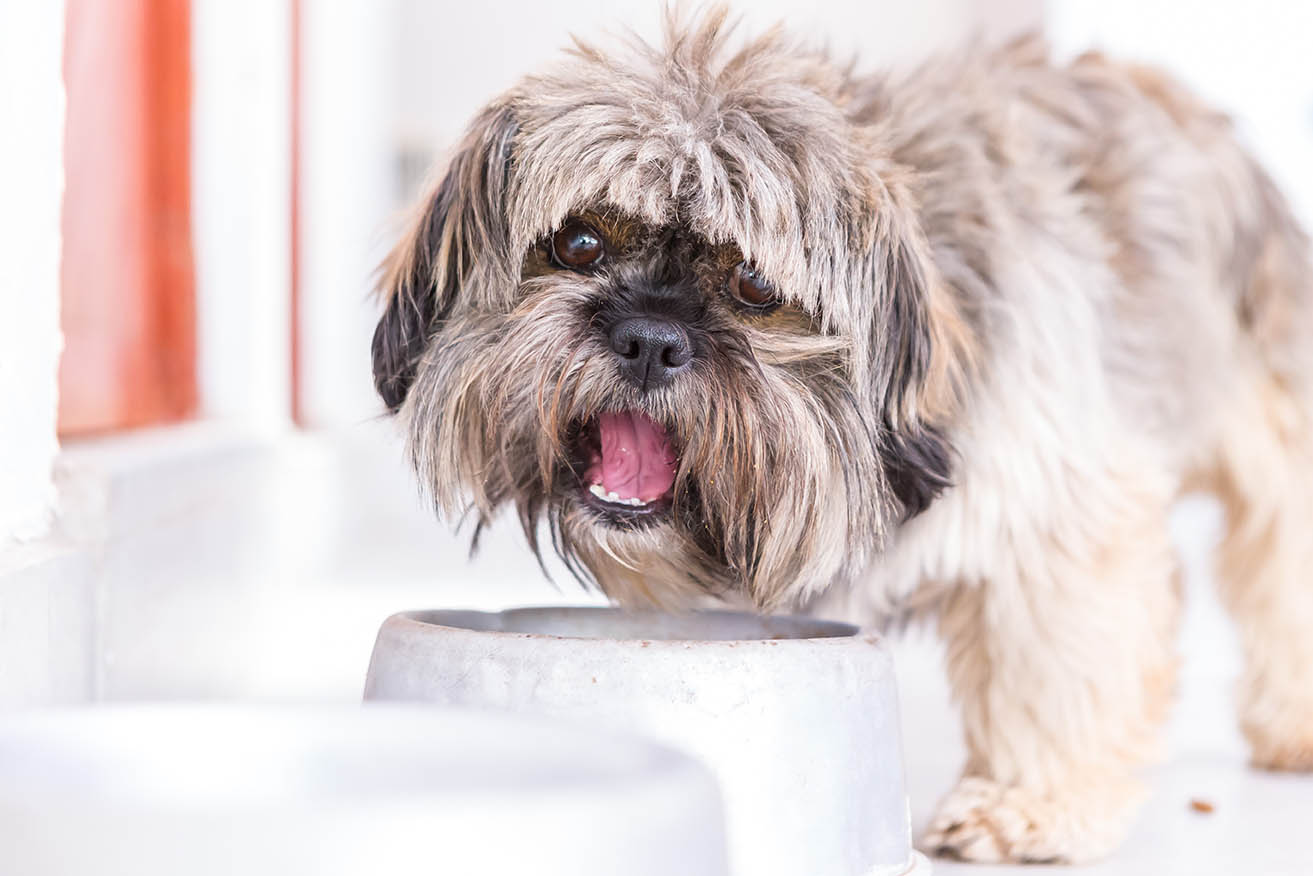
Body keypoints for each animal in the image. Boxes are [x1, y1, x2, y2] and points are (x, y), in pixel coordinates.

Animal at [372, 6, 1313, 866]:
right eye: (577, 241)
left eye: (755, 285)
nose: (648, 338)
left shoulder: (1058, 513)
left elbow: (1050, 666)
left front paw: (1027, 803)